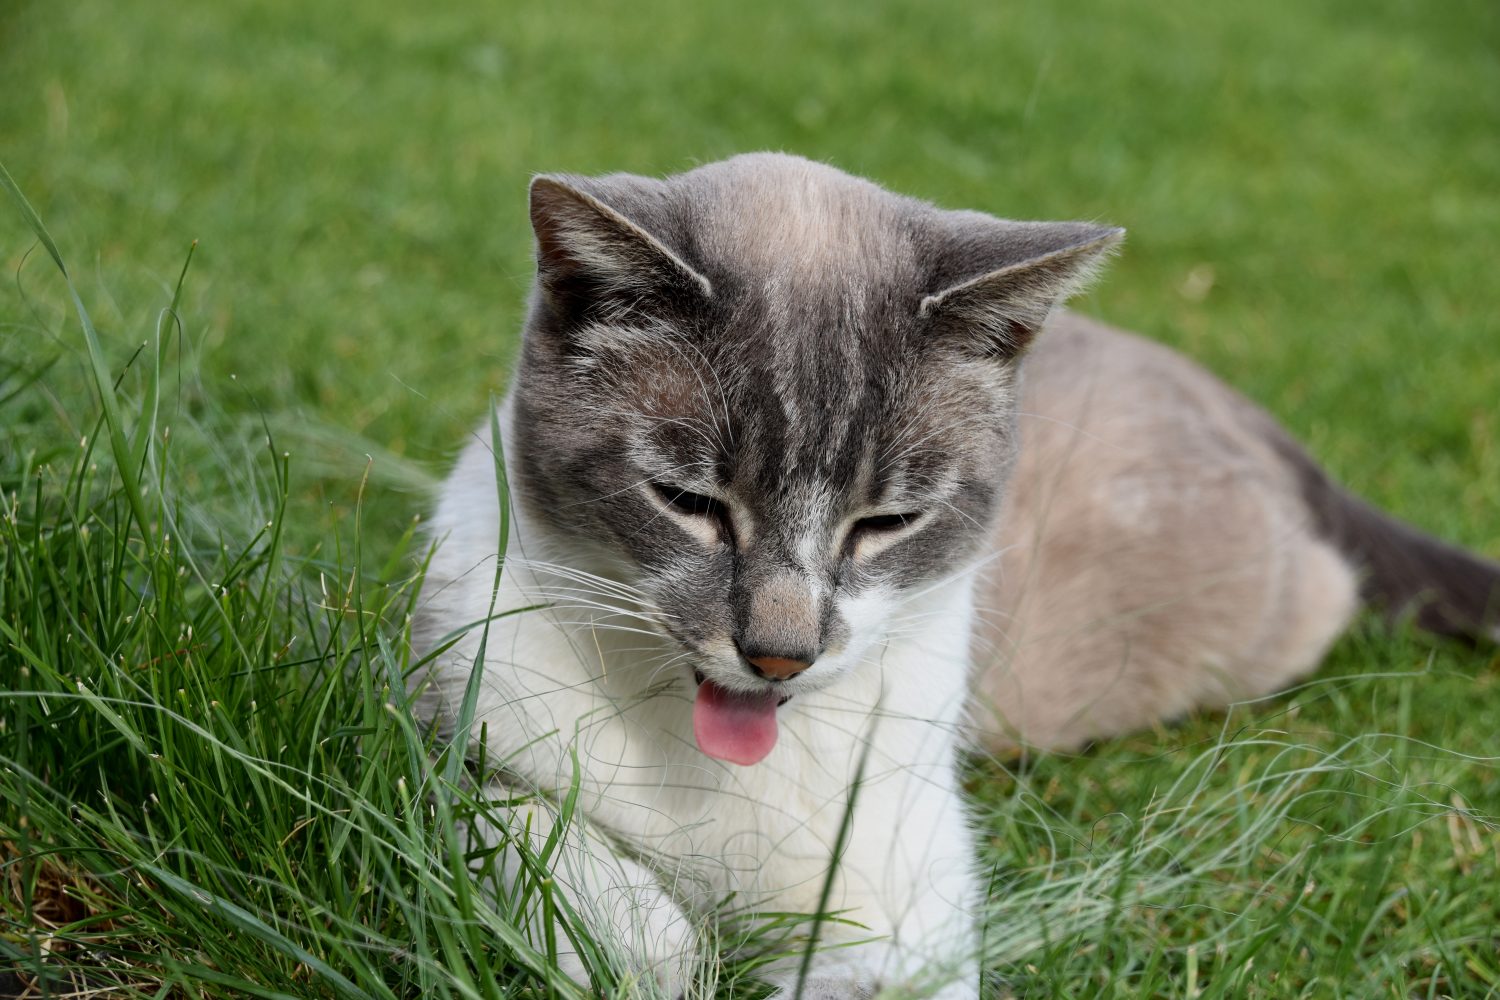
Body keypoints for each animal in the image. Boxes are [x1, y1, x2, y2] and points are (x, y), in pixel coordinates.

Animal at [417, 152, 1500, 995]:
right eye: (690, 501)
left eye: (888, 523)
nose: (780, 654)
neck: (710, 765)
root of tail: (1236, 400)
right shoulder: (442, 746)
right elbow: (601, 895)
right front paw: (659, 946)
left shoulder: (897, 900)